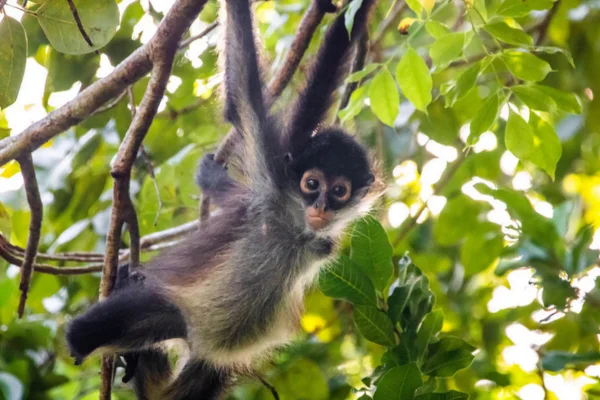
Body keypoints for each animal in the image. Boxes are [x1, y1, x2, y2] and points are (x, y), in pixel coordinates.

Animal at [65, 0, 382, 396]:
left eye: (339, 191)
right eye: (312, 184)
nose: (321, 206)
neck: (296, 229)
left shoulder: (317, 235)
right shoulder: (272, 183)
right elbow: (241, 94)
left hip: (206, 361)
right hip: (170, 310)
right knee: (83, 334)